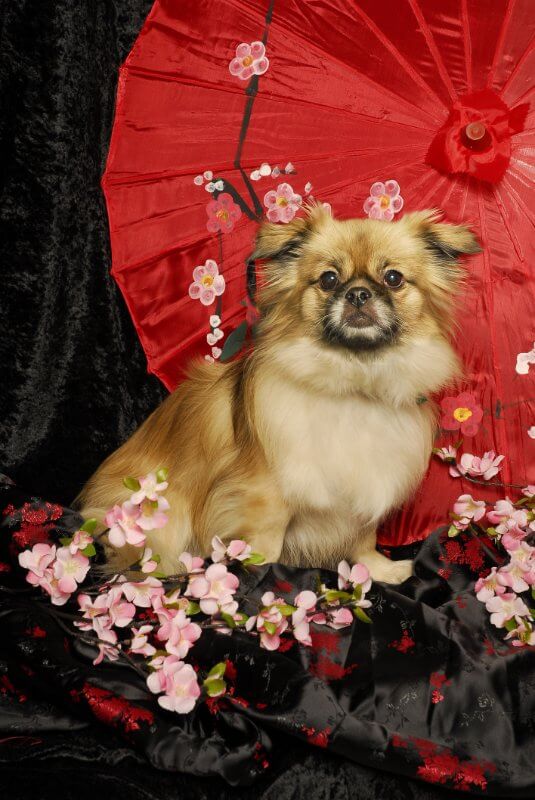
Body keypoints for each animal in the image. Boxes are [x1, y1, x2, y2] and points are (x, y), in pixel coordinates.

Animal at [78, 206, 482, 580]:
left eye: (394, 278)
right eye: (328, 279)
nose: (358, 293)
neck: (354, 379)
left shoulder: (365, 486)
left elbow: (363, 537)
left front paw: (378, 570)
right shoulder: (266, 498)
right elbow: (268, 545)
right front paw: (262, 583)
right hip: (165, 514)